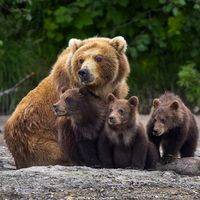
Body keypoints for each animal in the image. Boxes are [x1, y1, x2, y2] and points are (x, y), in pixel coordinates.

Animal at [4, 36, 130, 169]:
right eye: (81, 59)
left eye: (98, 58)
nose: (83, 72)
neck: (99, 90)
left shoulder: (116, 92)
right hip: (36, 140)